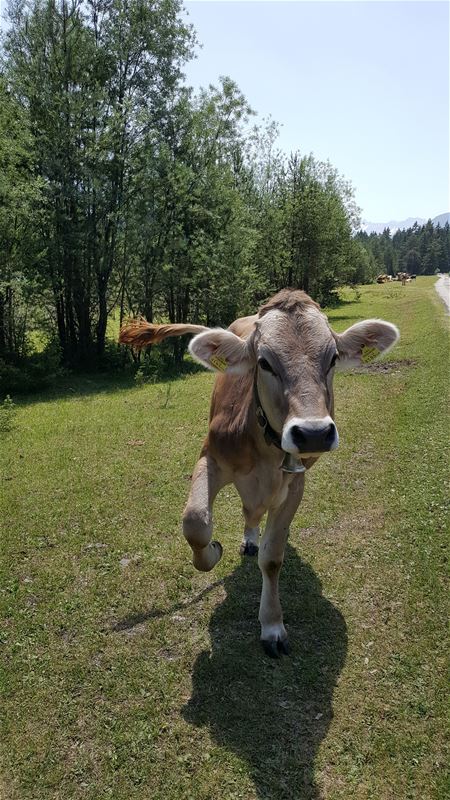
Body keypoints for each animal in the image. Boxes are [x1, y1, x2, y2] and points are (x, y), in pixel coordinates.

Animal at [118, 292, 400, 656]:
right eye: (264, 362)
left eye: (333, 358)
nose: (313, 433)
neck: (264, 446)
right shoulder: (211, 457)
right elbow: (195, 522)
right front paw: (213, 551)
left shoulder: (294, 482)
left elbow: (273, 558)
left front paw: (272, 625)